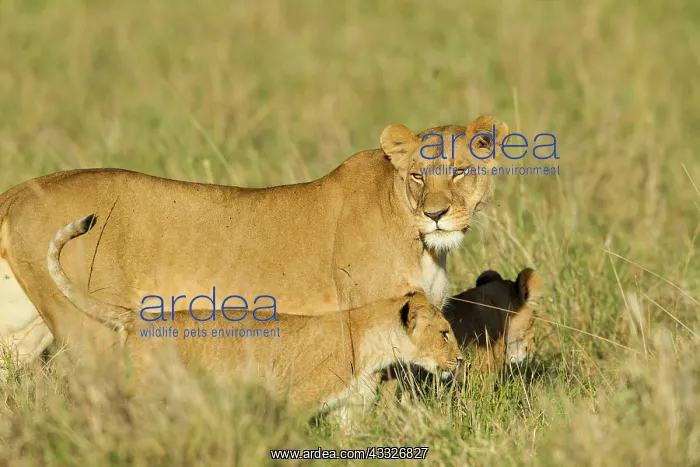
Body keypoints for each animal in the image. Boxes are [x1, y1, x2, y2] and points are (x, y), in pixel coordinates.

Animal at [0, 115, 507, 374]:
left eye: (460, 171)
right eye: (419, 175)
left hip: (23, 330)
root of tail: (19, 190)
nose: (436, 214)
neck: (423, 243)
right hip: (92, 330)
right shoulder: (372, 318)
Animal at [47, 214, 464, 429]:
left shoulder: (350, 411)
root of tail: (137, 318)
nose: (460, 361)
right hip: (146, 390)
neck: (372, 347)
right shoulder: (294, 401)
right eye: (445, 333)